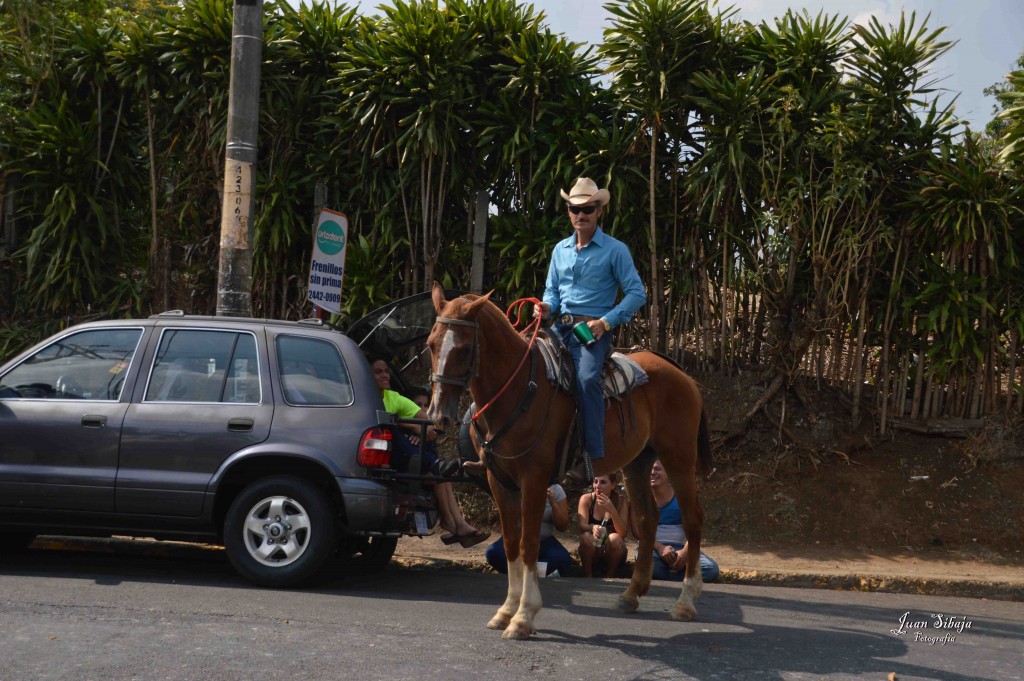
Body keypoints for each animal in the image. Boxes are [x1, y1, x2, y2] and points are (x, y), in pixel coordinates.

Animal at [425, 280, 712, 639]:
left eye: (464, 349)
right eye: (430, 345)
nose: (438, 416)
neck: (518, 391)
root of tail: (681, 374)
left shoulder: (533, 480)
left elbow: (528, 544)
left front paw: (524, 616)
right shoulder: (499, 481)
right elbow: (510, 543)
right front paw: (506, 611)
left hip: (678, 457)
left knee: (692, 519)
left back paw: (686, 601)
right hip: (638, 462)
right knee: (648, 519)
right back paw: (631, 594)